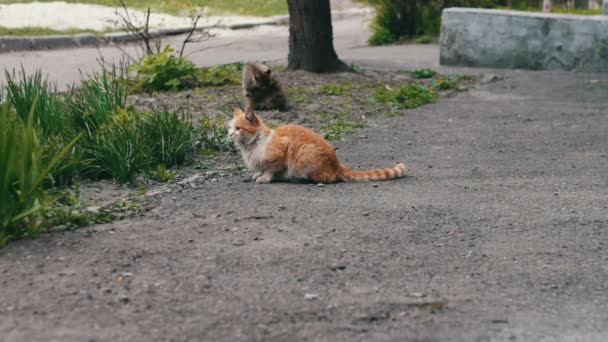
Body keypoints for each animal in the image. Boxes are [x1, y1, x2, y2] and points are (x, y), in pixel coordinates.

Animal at [226, 107, 406, 184]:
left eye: (238, 128)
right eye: (229, 127)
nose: (229, 135)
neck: (251, 147)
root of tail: (337, 162)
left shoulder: (281, 151)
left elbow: (270, 169)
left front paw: (265, 177)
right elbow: (262, 168)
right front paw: (258, 174)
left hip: (304, 155)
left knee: (330, 178)